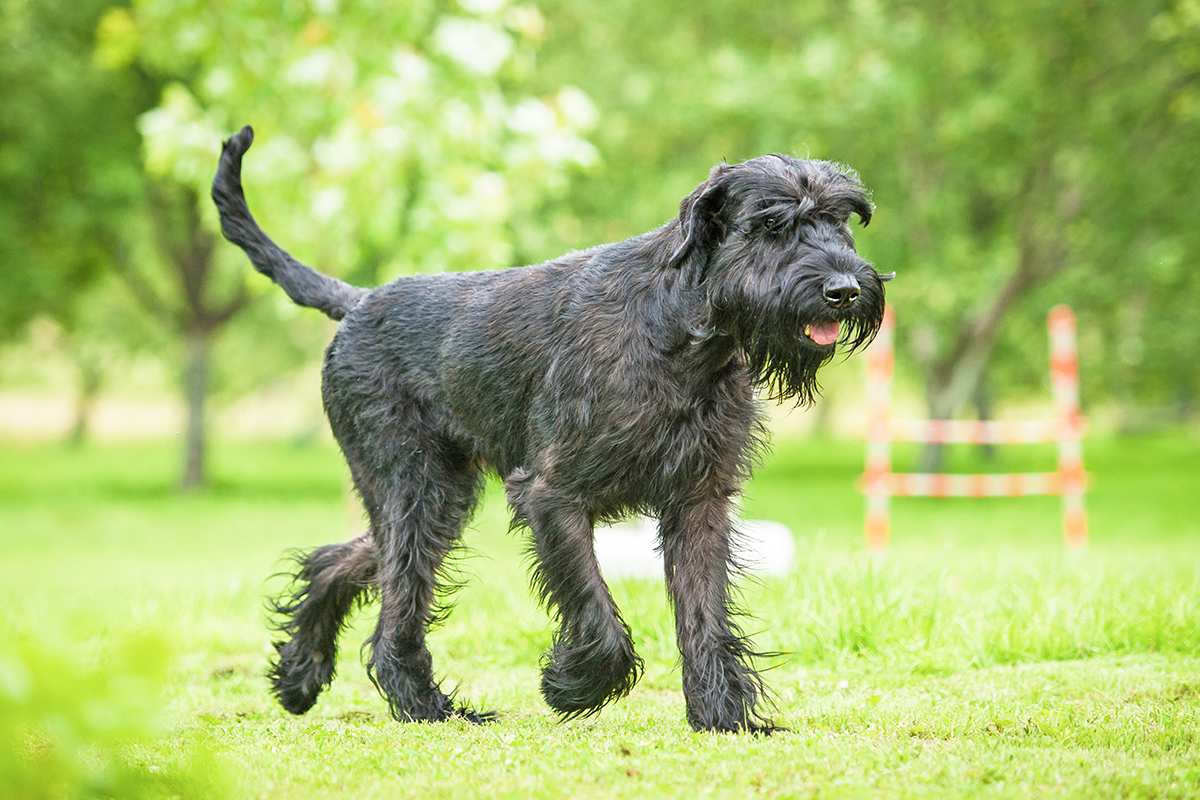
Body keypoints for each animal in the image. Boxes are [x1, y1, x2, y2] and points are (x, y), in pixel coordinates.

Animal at [208, 123, 892, 734]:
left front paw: (722, 716)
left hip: (438, 497)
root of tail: (357, 301)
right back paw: (427, 707)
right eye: (772, 224)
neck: (684, 335)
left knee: (342, 561)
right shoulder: (552, 495)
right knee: (396, 605)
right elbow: (595, 607)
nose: (845, 289)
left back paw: (299, 677)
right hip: (415, 489)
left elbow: (704, 614)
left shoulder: (699, 501)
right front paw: (572, 687)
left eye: (841, 220)